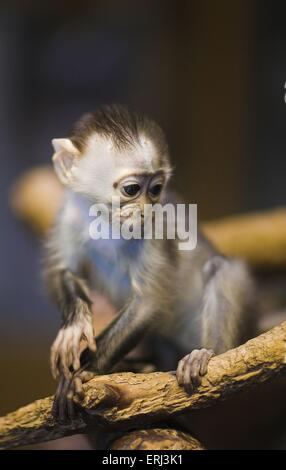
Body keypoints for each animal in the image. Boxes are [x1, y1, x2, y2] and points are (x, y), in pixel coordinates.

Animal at [45, 104, 256, 420]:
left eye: (155, 190)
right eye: (132, 189)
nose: (145, 211)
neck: (106, 223)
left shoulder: (157, 231)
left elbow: (148, 302)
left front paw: (84, 370)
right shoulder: (71, 215)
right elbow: (64, 270)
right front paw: (75, 323)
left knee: (222, 270)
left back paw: (206, 353)